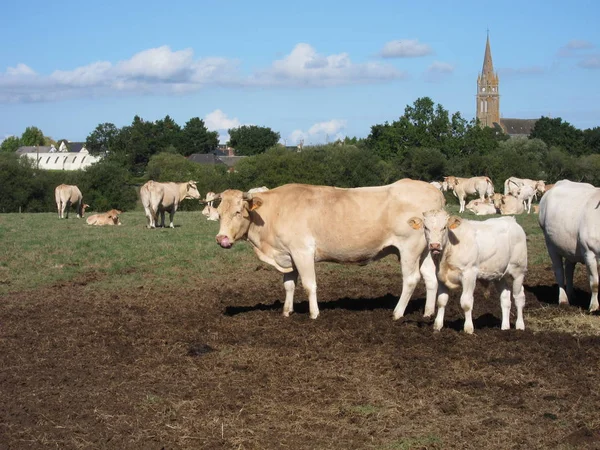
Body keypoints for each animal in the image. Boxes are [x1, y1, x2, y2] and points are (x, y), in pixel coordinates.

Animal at [212, 179, 446, 320]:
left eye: (238, 212)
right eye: (220, 213)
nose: (221, 239)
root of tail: (432, 189)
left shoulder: (302, 251)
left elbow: (309, 285)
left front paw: (314, 314)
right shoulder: (287, 255)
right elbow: (289, 285)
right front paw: (287, 311)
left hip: (409, 248)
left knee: (411, 279)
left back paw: (397, 313)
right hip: (426, 249)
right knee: (430, 278)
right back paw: (428, 313)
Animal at [540, 178, 600, 312]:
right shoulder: (589, 252)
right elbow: (594, 283)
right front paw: (594, 307)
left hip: (569, 248)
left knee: (569, 269)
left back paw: (571, 294)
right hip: (550, 244)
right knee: (559, 271)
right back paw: (563, 299)